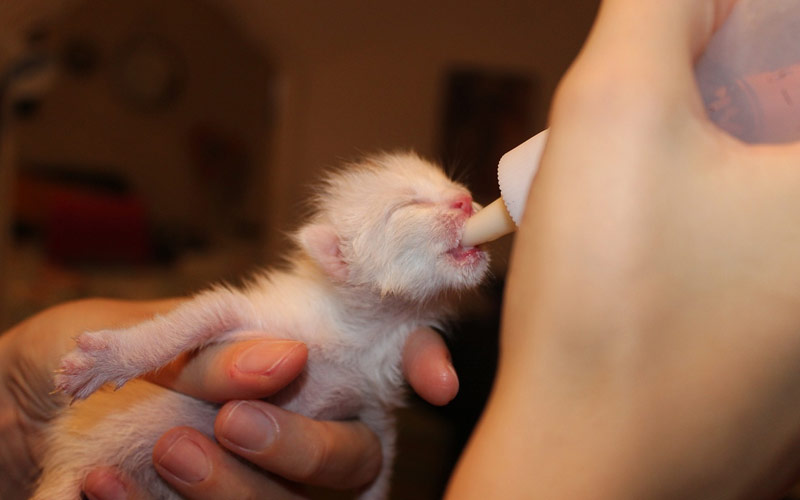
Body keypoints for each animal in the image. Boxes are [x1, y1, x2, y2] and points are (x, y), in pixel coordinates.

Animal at [31, 153, 490, 500]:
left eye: (451, 184)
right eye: (407, 205)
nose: (466, 201)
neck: (369, 329)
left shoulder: (373, 410)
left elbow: (378, 465)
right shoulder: (260, 317)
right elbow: (197, 317)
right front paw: (107, 360)